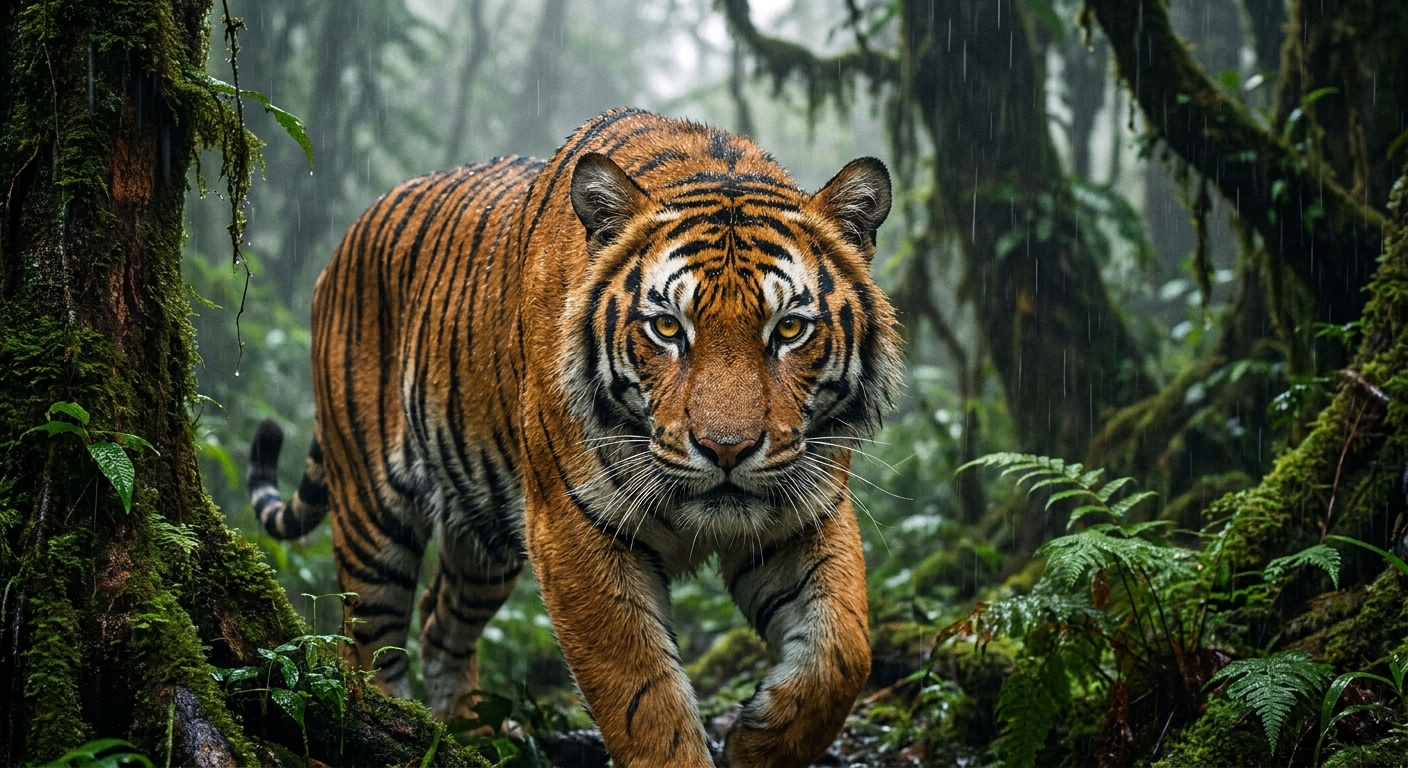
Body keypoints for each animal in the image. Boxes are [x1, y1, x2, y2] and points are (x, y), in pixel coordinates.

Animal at [245, 108, 901, 767]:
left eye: (789, 329)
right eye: (668, 328)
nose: (726, 450)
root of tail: (348, 236)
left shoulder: (806, 510)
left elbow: (843, 652)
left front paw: (754, 740)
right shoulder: (573, 527)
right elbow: (643, 696)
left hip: (484, 534)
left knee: (441, 622)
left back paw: (466, 735)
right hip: (372, 513)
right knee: (362, 650)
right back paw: (393, 725)